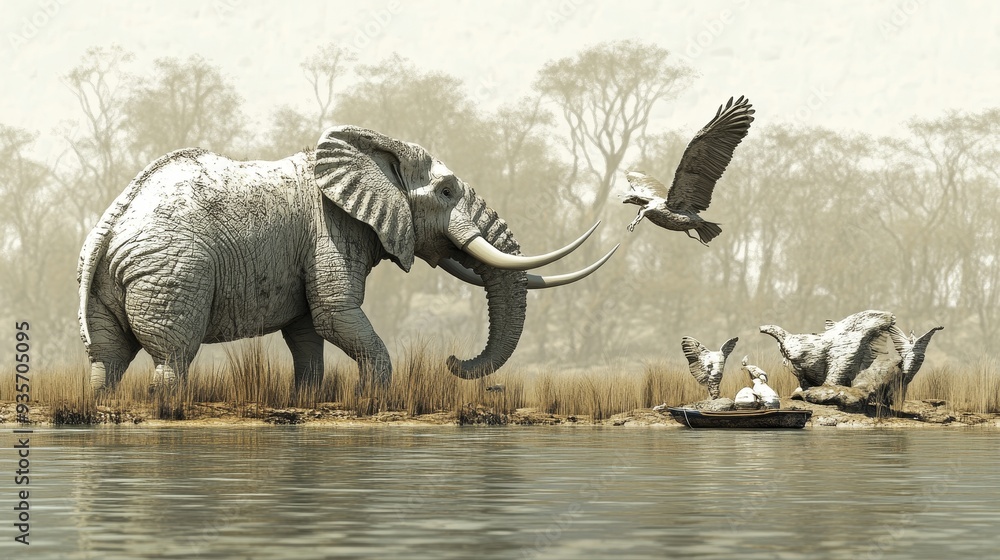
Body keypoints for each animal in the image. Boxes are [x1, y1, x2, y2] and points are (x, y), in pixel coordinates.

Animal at [78, 125, 617, 393]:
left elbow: (306, 331)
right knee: (172, 357)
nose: (451, 362)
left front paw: (309, 400)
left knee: (107, 359)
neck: (375, 150)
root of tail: (110, 225)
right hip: (173, 274)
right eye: (446, 192)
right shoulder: (331, 233)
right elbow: (334, 314)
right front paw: (369, 400)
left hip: (113, 282)